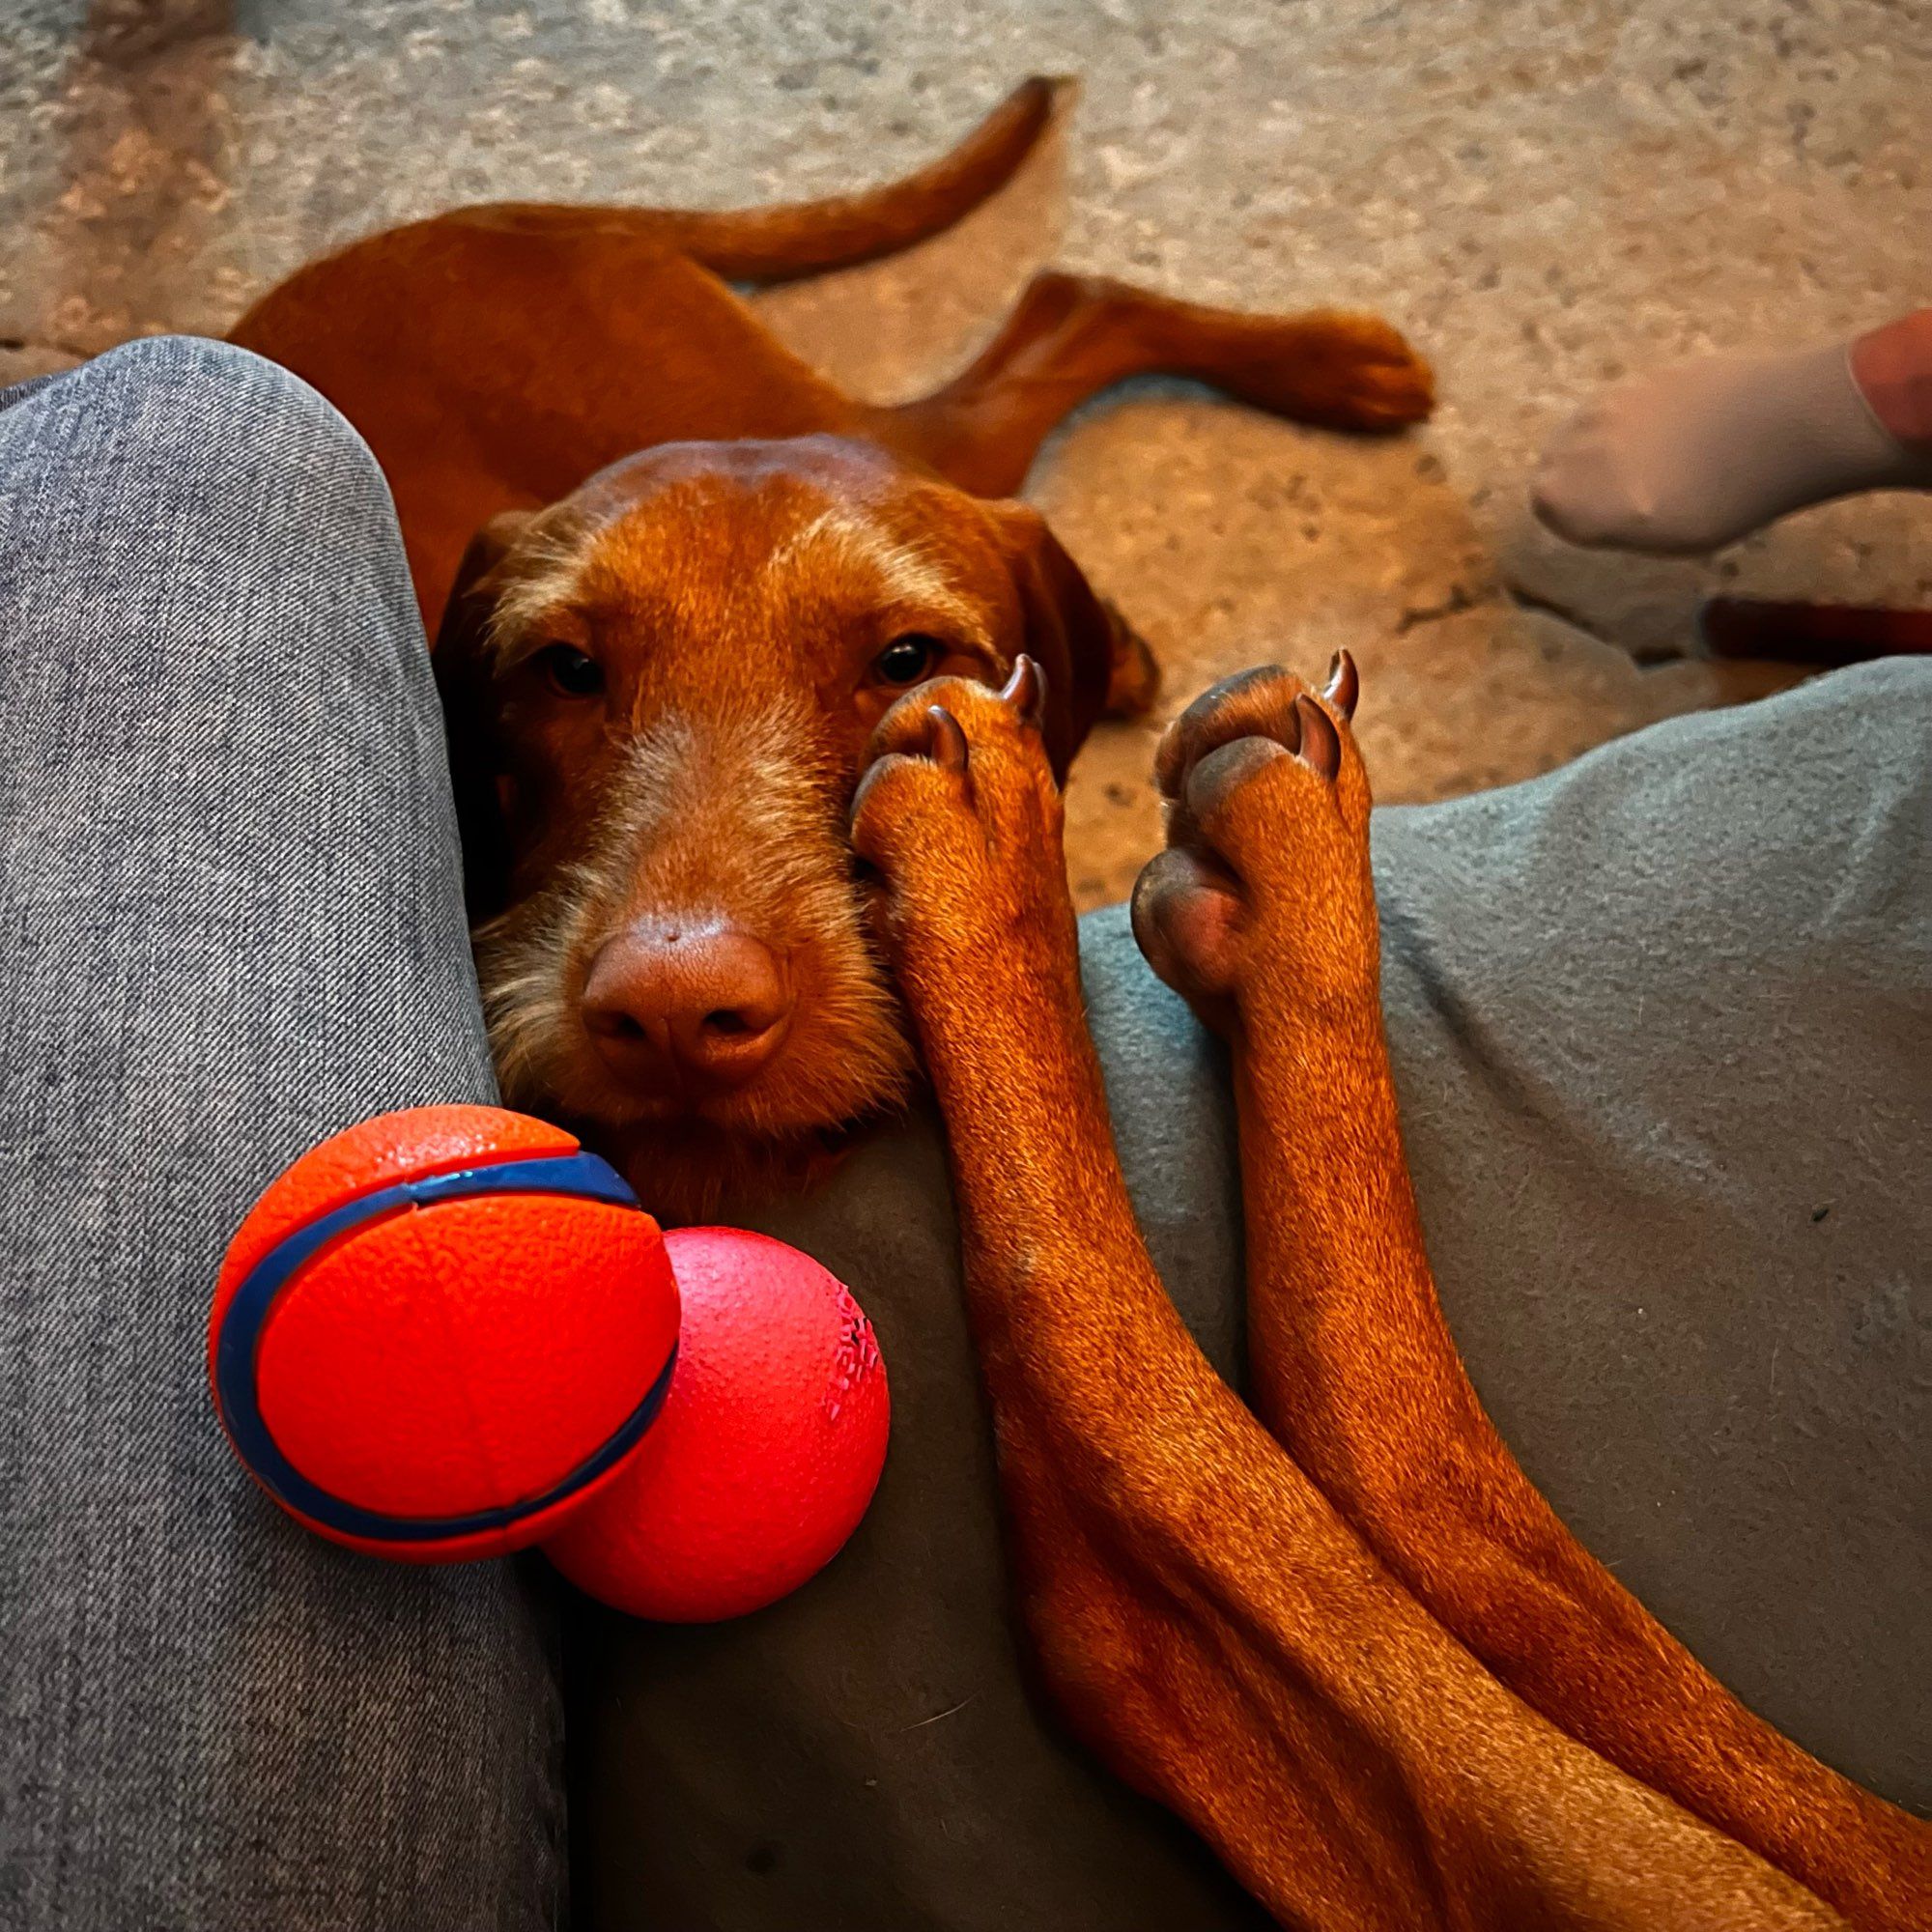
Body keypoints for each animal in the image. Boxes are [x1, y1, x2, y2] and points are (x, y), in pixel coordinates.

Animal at [230, 83, 1437, 1221]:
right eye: (564, 670)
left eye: (905, 658)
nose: (674, 1015)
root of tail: (474, 218)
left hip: (846, 426)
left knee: (1062, 315)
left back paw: (1328, 368)